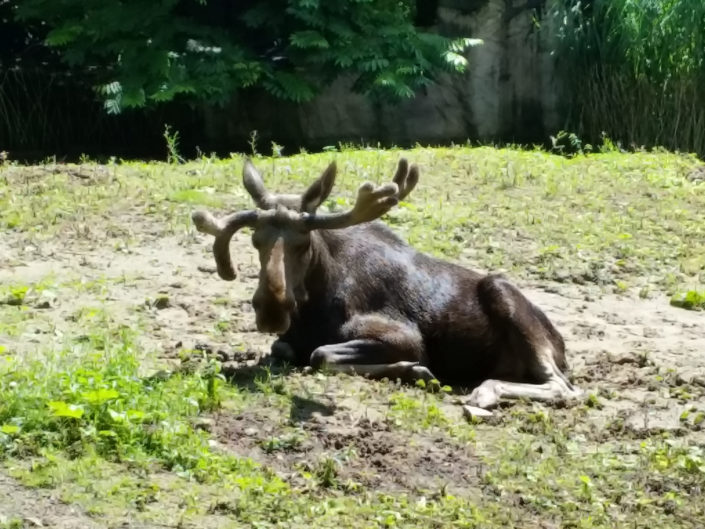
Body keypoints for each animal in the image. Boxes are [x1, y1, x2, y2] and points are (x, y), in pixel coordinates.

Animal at [191, 158, 581, 415]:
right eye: (255, 240)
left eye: (303, 243)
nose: (272, 311)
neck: (313, 306)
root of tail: (562, 345)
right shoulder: (289, 340)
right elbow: (285, 349)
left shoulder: (404, 336)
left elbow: (321, 355)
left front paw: (414, 369)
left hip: (504, 293)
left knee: (563, 388)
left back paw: (485, 392)